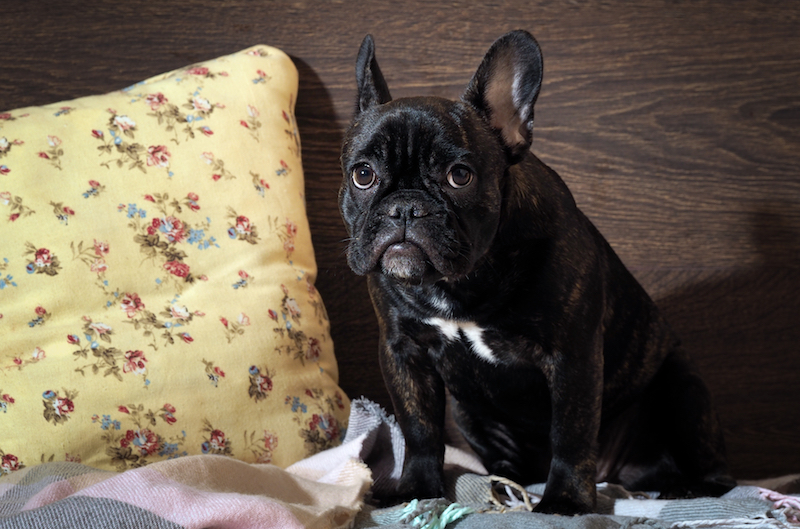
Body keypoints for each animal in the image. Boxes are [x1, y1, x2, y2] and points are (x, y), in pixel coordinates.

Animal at [338, 31, 736, 512]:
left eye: (459, 176)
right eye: (362, 175)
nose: (405, 208)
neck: (462, 282)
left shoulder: (572, 356)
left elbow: (571, 433)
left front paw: (565, 501)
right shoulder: (404, 352)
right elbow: (419, 430)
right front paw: (416, 488)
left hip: (684, 391)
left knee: (715, 468)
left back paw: (689, 488)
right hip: (470, 414)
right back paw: (500, 479)